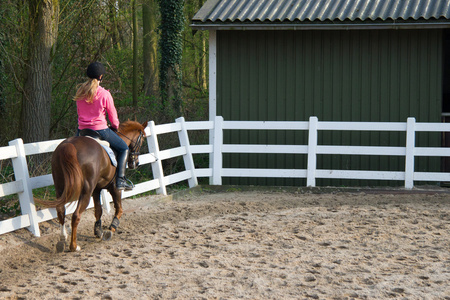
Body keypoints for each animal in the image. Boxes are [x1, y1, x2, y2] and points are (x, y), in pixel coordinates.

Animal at [43, 120, 147, 252]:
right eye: (142, 140)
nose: (136, 163)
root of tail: (69, 145)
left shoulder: (96, 190)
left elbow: (98, 210)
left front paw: (98, 231)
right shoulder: (114, 188)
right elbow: (119, 209)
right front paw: (111, 229)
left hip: (60, 188)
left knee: (61, 211)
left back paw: (62, 240)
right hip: (86, 192)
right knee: (76, 215)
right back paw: (74, 246)